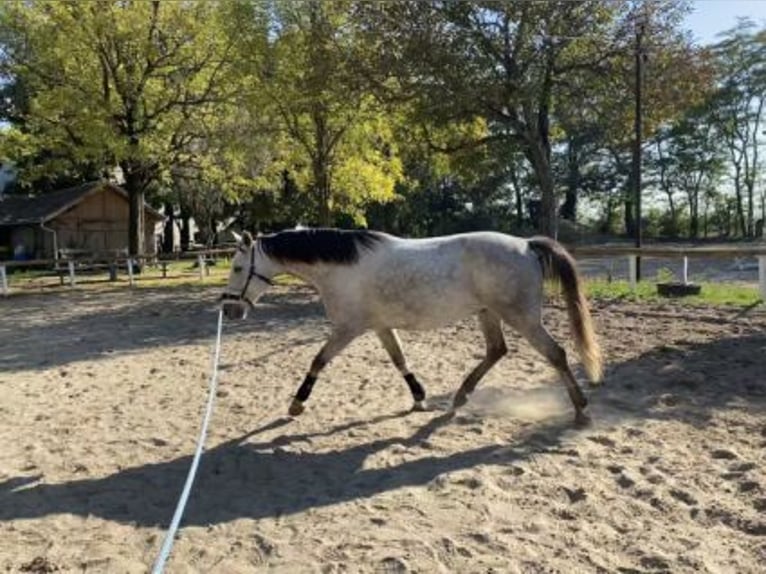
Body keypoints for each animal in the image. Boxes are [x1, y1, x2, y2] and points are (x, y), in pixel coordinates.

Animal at [220, 228, 603, 426]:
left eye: (237, 268)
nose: (229, 309)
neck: (342, 267)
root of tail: (526, 245)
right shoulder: (379, 326)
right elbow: (399, 360)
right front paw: (419, 397)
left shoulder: (348, 328)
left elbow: (318, 360)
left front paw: (297, 404)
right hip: (488, 313)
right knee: (497, 351)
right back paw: (459, 398)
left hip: (520, 316)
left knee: (556, 353)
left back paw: (581, 408)